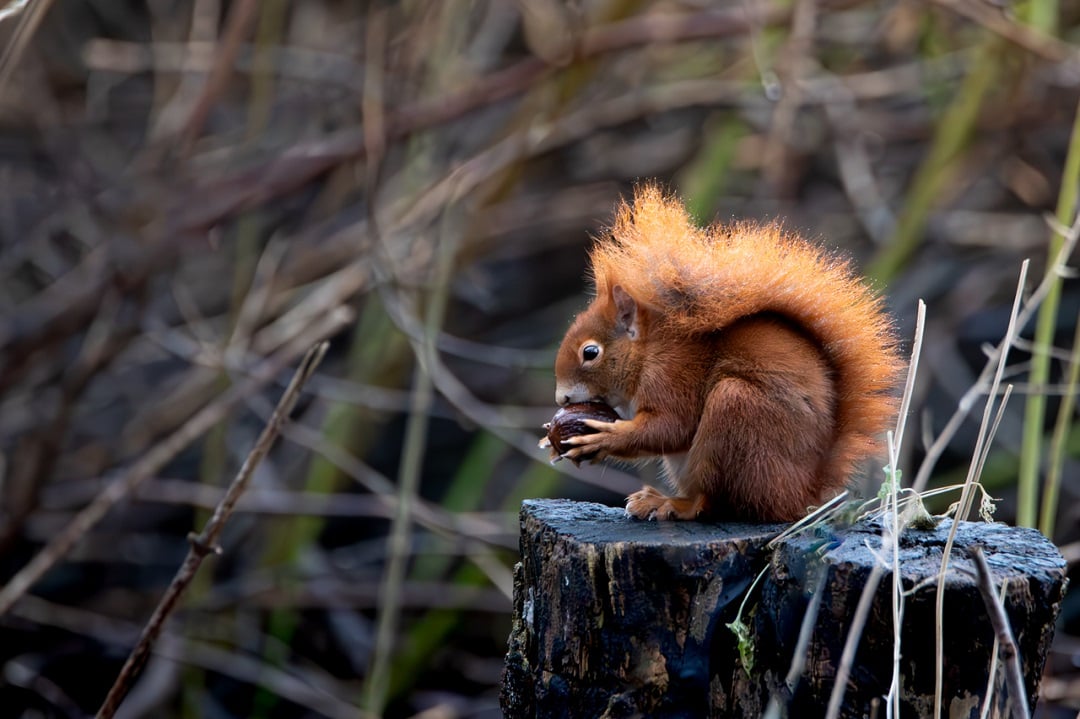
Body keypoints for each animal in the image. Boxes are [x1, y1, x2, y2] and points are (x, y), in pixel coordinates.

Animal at [549, 185, 903, 522]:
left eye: (590, 352)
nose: (561, 399)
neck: (646, 353)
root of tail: (807, 492)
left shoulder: (673, 374)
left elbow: (670, 427)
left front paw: (603, 438)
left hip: (736, 413)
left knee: (719, 502)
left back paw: (675, 504)